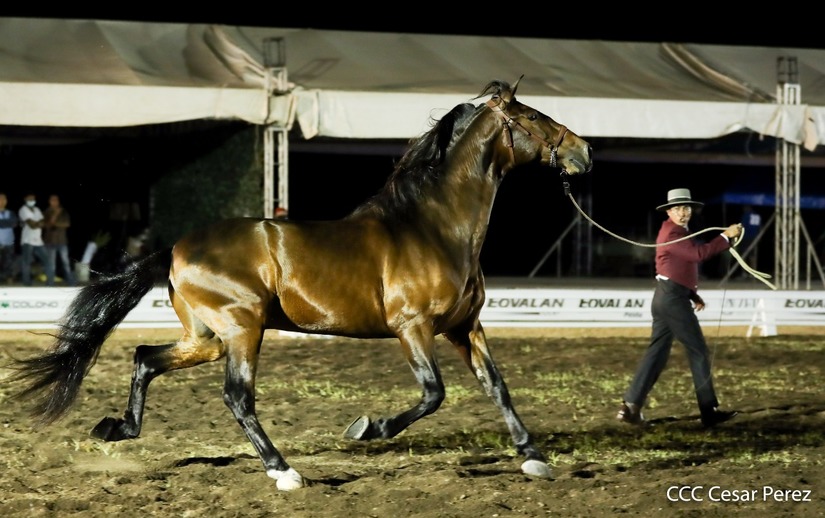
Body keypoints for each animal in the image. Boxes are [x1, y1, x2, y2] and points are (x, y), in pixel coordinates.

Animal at [4, 78, 593, 491]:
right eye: (533, 116)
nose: (584, 152)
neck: (432, 228)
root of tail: (174, 249)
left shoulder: (464, 326)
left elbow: (497, 386)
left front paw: (534, 458)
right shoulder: (414, 327)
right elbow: (433, 393)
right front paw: (366, 429)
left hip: (208, 337)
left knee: (146, 357)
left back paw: (118, 429)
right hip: (243, 329)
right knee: (237, 396)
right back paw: (282, 470)